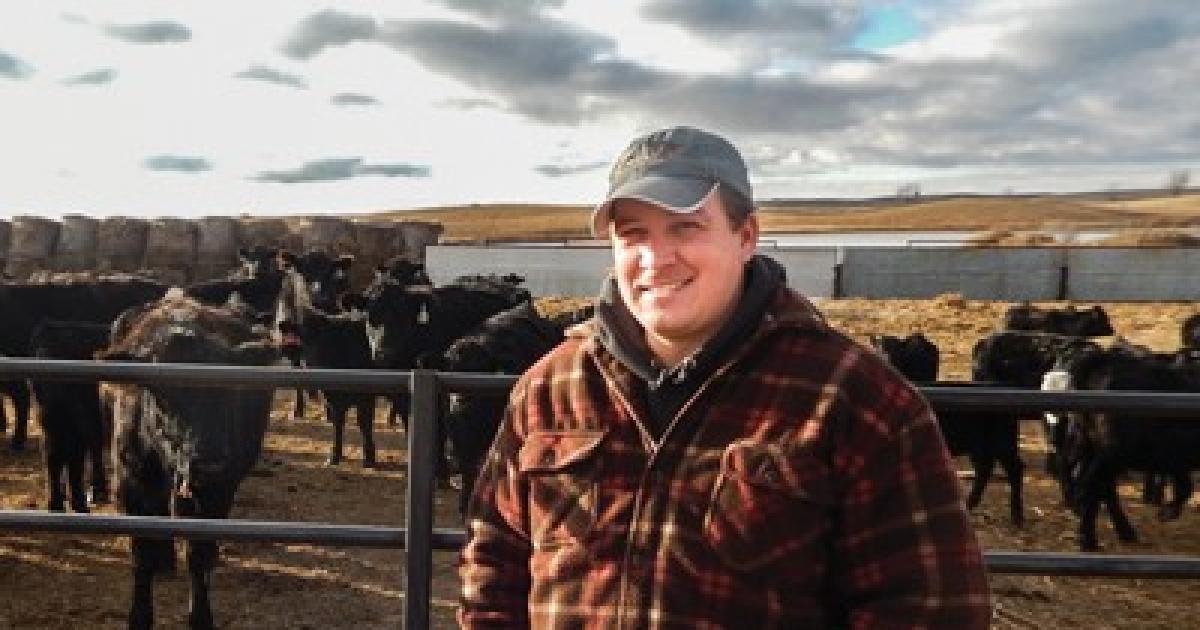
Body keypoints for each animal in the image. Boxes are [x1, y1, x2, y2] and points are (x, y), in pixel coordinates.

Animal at [1056, 343, 1200, 549]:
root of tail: (1104, 360)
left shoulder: (1176, 459)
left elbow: (1184, 486)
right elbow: (1184, 487)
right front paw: (1167, 511)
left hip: (1087, 443)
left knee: (1082, 474)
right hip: (1113, 453)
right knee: (1091, 486)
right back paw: (1088, 539)